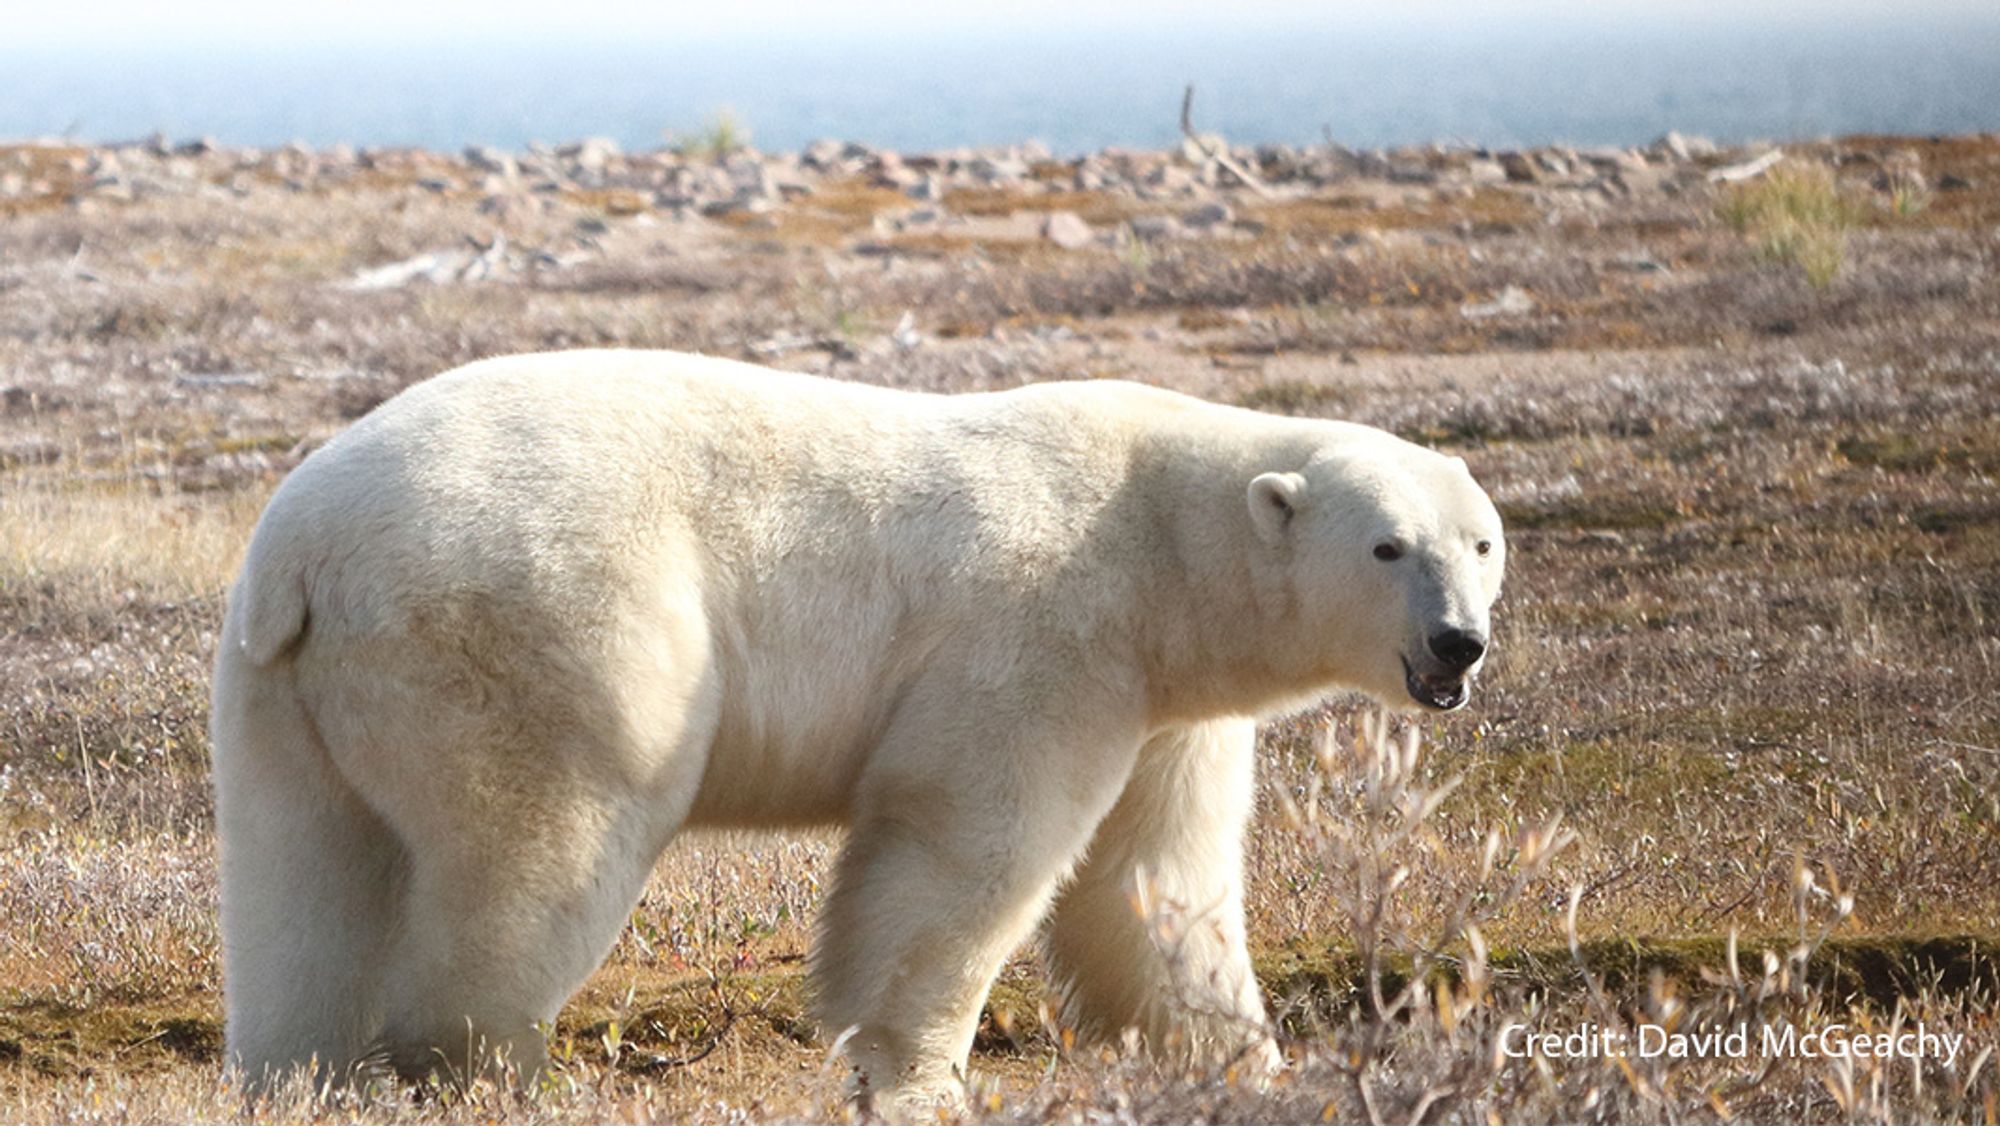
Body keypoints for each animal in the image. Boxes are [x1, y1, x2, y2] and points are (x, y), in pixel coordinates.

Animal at [215, 350, 1504, 1112]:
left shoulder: (1166, 703)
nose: (1457, 644)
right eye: (1386, 545)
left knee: (306, 884)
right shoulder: (1044, 635)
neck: (1156, 538)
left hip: (284, 694)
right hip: (539, 626)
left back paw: (297, 1074)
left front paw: (1245, 1063)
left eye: (1479, 540)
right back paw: (492, 1069)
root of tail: (307, 551)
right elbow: (964, 848)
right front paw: (918, 1077)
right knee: (538, 844)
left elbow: (1153, 880)